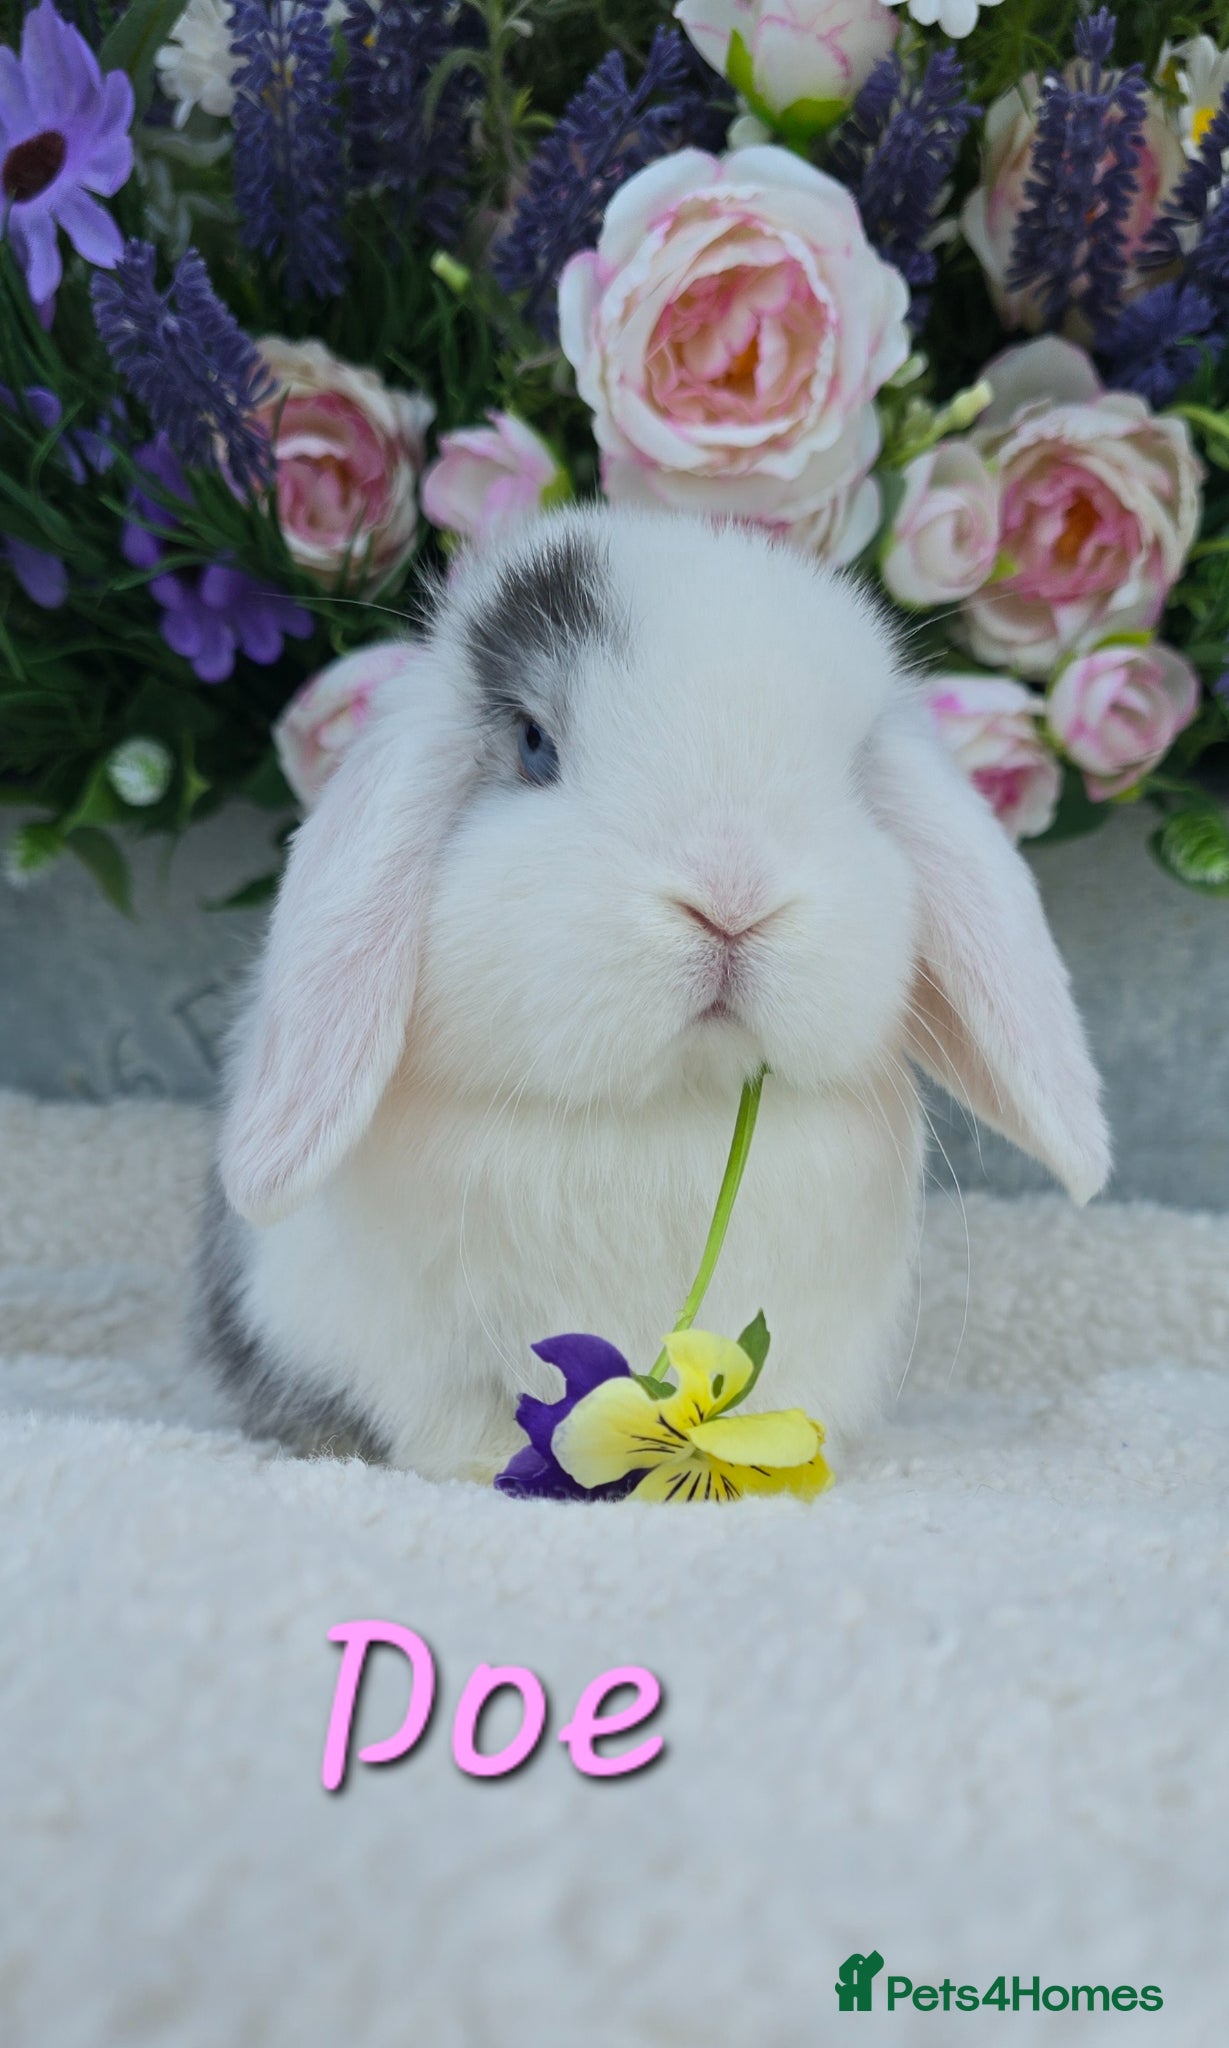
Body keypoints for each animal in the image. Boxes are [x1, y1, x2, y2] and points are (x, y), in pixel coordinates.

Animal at [193, 503, 1110, 1483]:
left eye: (854, 772)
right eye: (534, 745)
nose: (732, 898)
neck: (664, 1107)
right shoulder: (421, 1356)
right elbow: (460, 1422)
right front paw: (485, 1470)